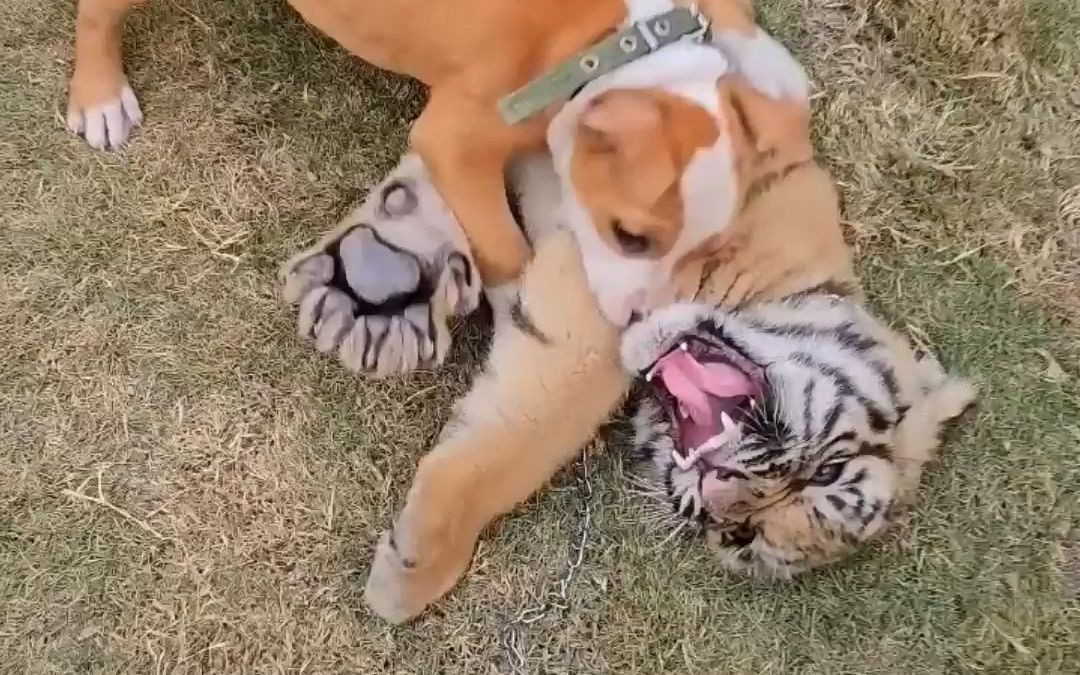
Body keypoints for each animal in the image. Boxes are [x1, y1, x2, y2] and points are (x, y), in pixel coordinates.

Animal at [281, 149, 976, 623]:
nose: (717, 497)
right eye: (826, 472)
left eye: (740, 538)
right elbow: (520, 443)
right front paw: (406, 579)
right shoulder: (592, 312)